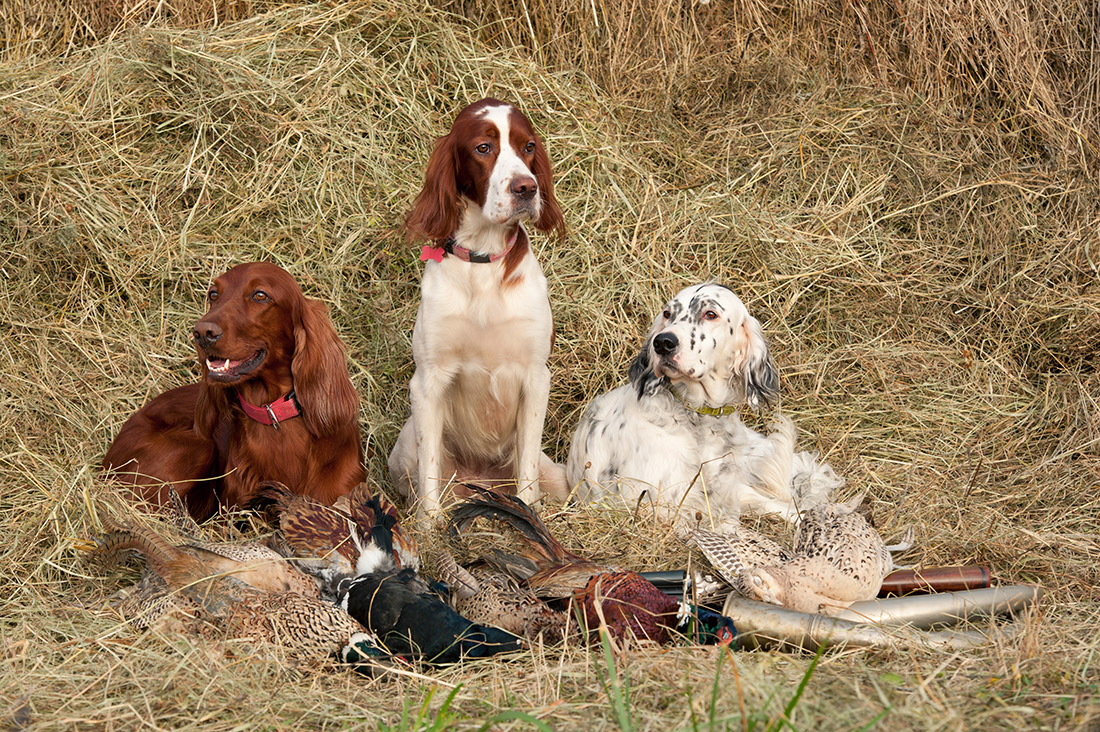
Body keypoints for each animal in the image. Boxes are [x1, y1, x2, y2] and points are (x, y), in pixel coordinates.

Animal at [389, 98, 567, 512]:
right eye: (483, 148)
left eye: (528, 146)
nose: (527, 188)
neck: (485, 260)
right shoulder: (427, 381)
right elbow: (429, 477)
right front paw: (430, 524)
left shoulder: (536, 377)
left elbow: (527, 476)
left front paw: (530, 517)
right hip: (403, 448)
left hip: (557, 473)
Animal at [567, 281, 840, 528]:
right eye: (668, 314)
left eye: (710, 314)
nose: (663, 342)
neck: (698, 417)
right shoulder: (660, 505)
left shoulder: (724, 490)